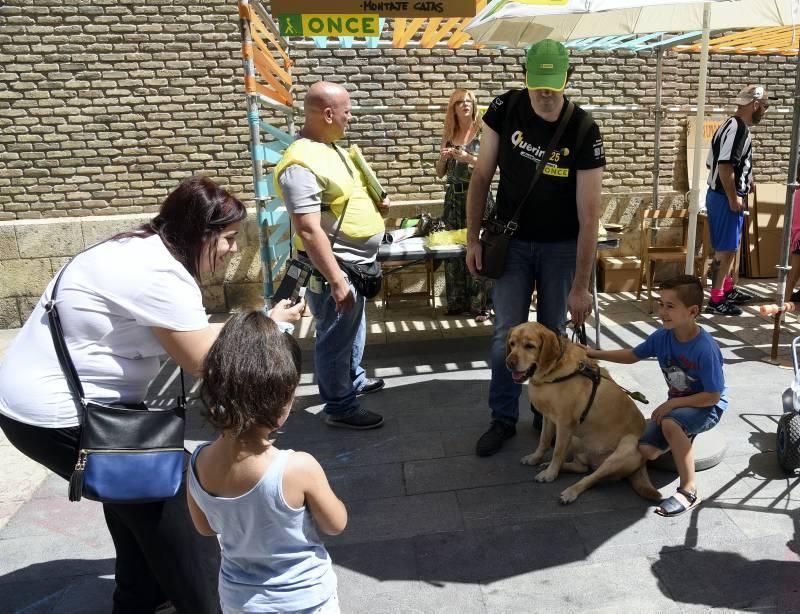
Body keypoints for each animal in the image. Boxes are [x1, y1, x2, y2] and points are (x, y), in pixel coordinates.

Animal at [506, 322, 656, 506]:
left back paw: (569, 491)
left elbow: (557, 451)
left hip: (625, 448)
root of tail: (643, 464)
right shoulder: (549, 418)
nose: (509, 363)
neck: (551, 372)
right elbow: (544, 441)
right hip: (576, 439)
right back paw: (554, 466)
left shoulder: (564, 423)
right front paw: (536, 458)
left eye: (529, 346)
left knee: (591, 478)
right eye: (512, 344)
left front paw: (550, 474)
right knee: (582, 468)